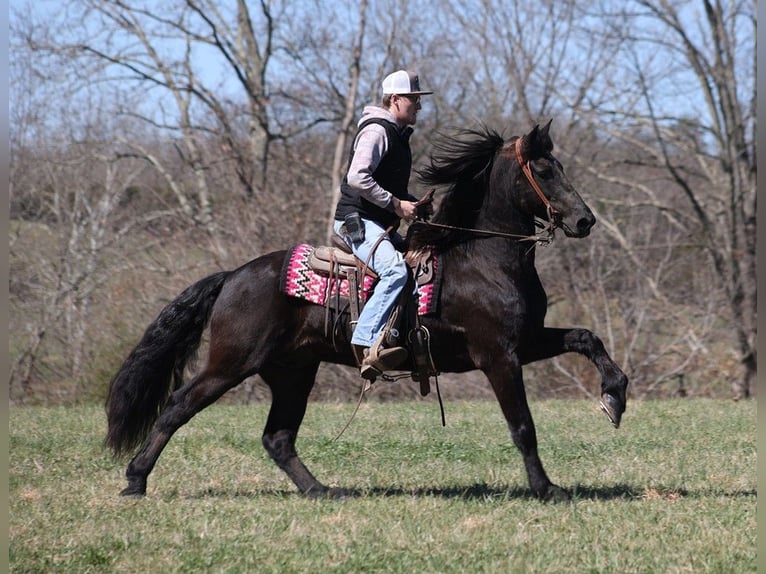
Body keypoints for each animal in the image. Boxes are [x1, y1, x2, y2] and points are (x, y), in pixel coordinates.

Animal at [103, 121, 632, 504]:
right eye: (544, 170)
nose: (585, 220)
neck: (481, 256)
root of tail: (234, 275)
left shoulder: (527, 340)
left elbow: (586, 338)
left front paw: (615, 397)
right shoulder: (498, 356)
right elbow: (523, 427)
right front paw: (547, 489)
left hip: (293, 372)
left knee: (278, 437)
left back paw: (321, 490)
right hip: (230, 365)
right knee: (178, 406)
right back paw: (135, 480)